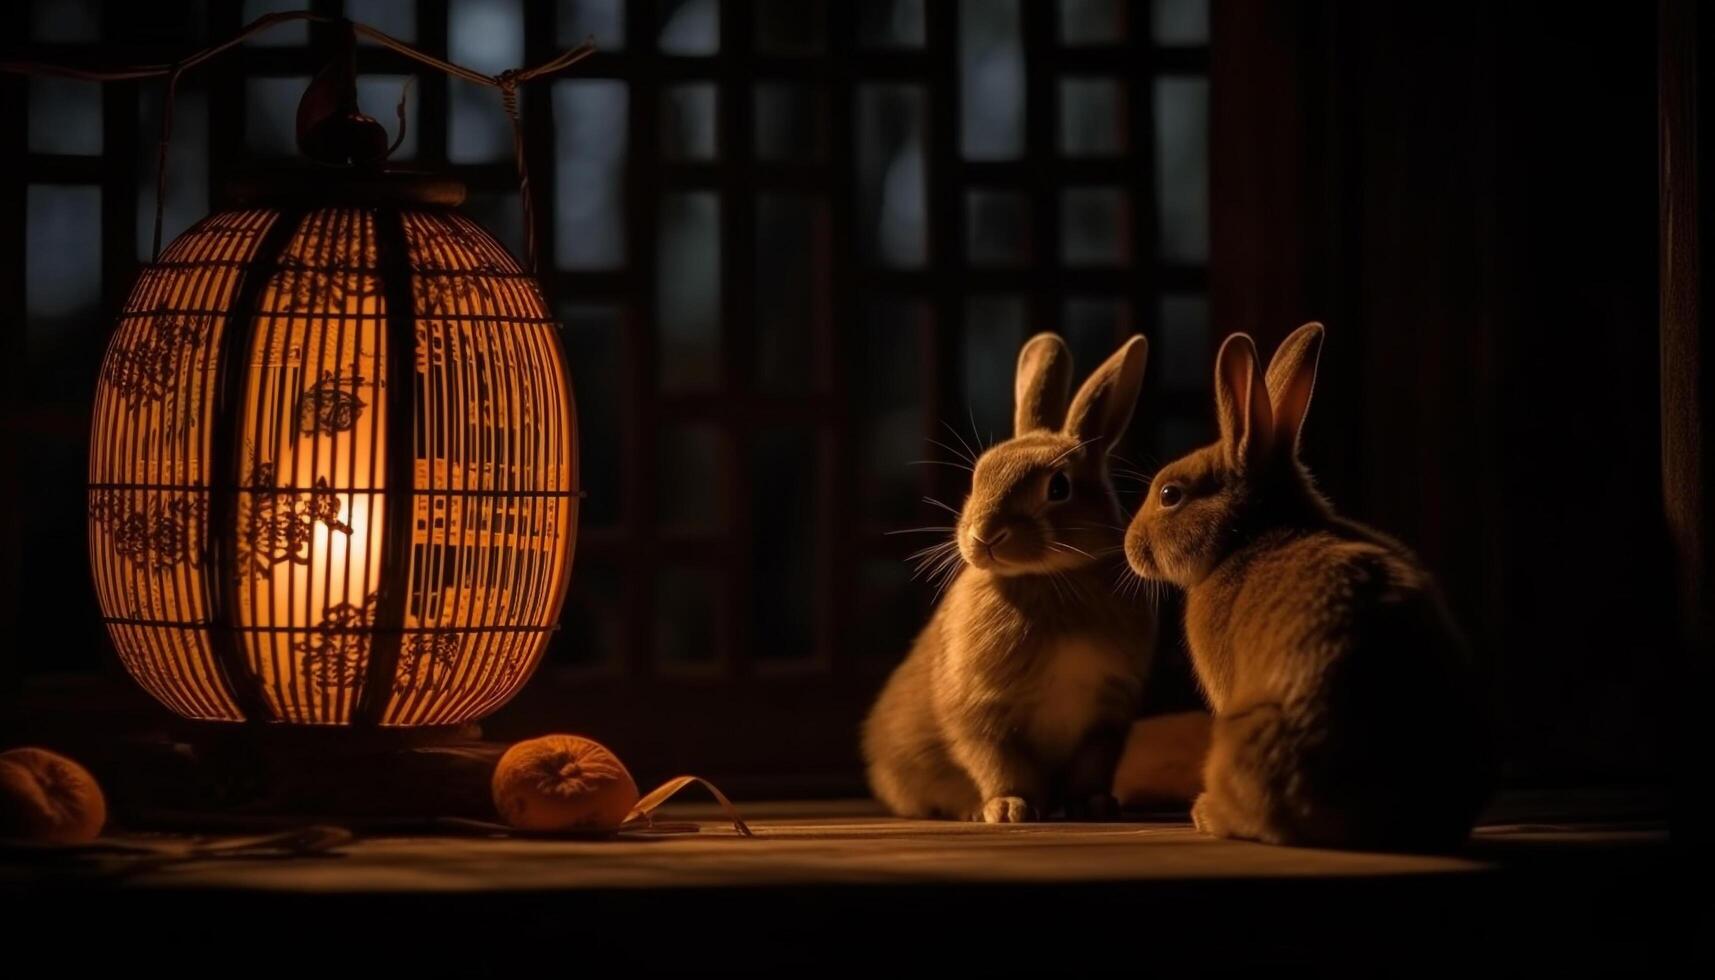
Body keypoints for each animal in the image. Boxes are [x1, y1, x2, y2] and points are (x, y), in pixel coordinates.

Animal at [864, 332, 1159, 823]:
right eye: (979, 476)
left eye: (1059, 487)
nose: (984, 536)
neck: (1049, 577)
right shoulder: (984, 713)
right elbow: (998, 762)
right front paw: (1009, 809)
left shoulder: (1107, 717)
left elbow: (1091, 766)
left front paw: (1093, 805)